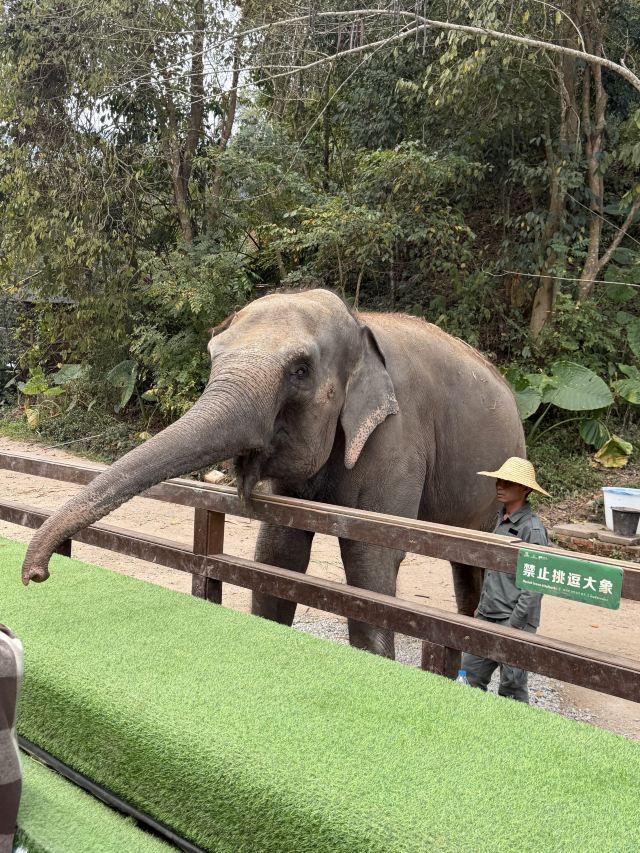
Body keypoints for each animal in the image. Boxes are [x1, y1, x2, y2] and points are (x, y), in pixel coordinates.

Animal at [22, 288, 525, 659]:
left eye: (299, 370)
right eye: (212, 356)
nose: (35, 576)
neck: (359, 324)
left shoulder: (397, 439)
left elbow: (372, 561)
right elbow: (277, 554)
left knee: (472, 569)